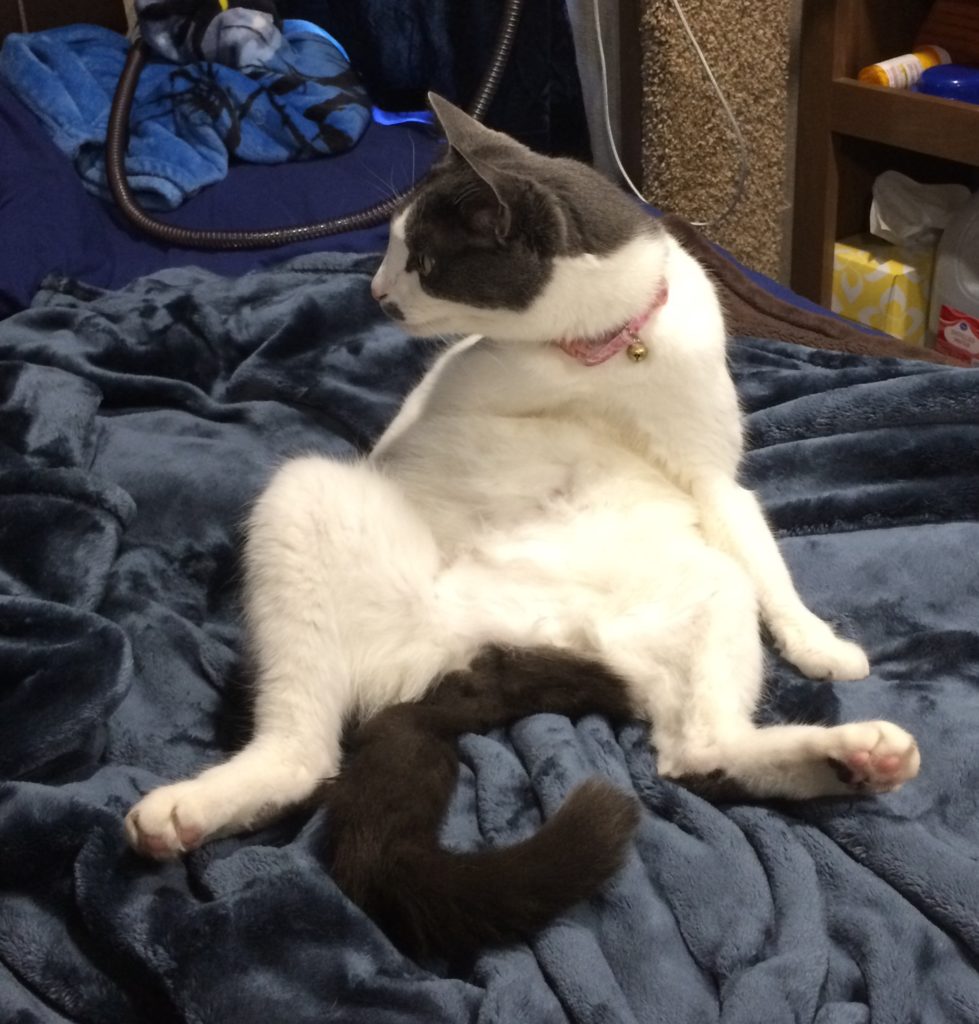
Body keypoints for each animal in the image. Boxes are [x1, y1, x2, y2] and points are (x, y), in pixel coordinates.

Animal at [122, 94, 917, 864]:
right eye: (390, 247)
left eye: (423, 259)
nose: (376, 291)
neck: (598, 354)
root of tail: (485, 654)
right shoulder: (427, 412)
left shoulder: (714, 477)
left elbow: (770, 569)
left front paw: (817, 643)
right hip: (308, 498)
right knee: (302, 752)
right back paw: (182, 814)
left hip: (710, 593)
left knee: (698, 752)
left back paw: (858, 757)